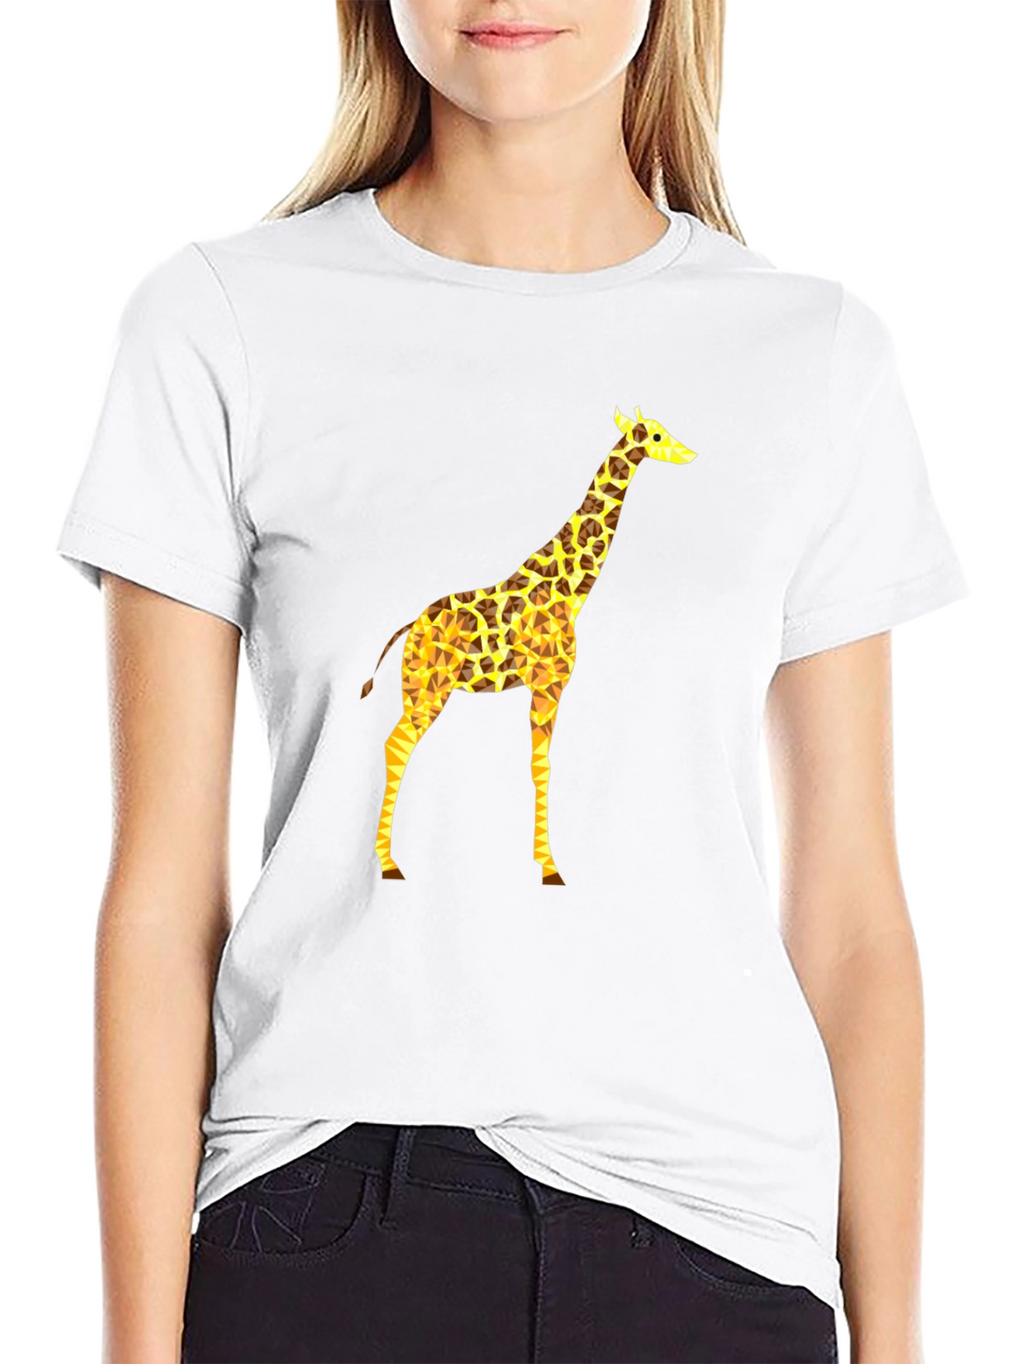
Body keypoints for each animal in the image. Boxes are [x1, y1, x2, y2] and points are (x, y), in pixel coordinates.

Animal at [359, 406, 698, 884]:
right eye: (654, 435)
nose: (690, 454)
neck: (569, 592)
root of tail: (411, 626)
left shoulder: (543, 687)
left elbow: (539, 765)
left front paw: (543, 861)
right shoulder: (548, 684)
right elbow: (543, 767)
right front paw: (550, 867)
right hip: (427, 690)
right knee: (396, 746)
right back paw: (389, 863)